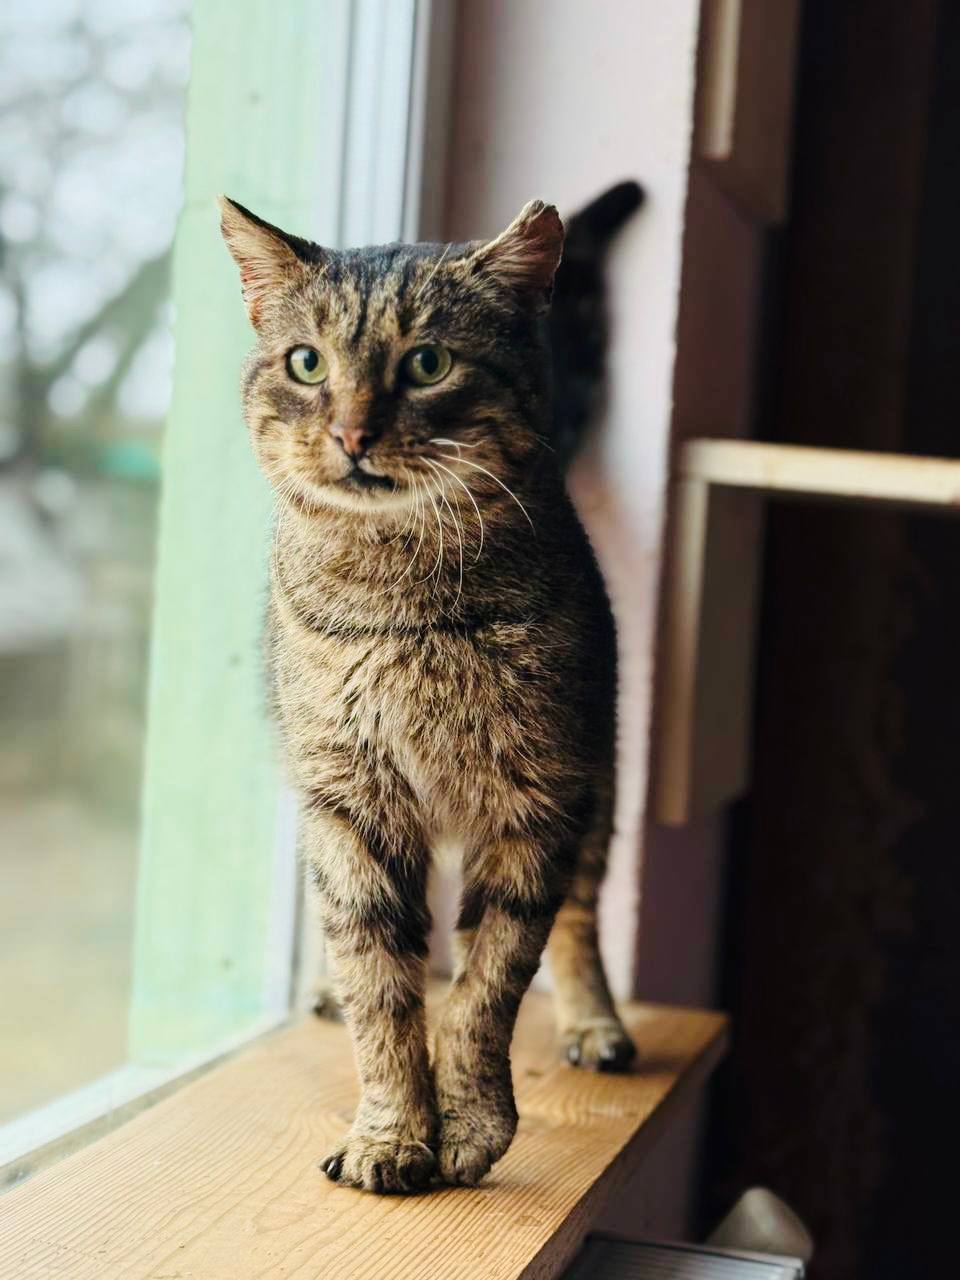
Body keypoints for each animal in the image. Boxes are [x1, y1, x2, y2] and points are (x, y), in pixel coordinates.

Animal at [219, 187, 640, 1194]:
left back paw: (596, 1023)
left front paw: (471, 1125)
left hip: (601, 783)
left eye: (428, 363)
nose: (351, 433)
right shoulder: (346, 798)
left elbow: (487, 984)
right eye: (307, 362)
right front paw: (390, 1133)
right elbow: (378, 979)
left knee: (581, 919)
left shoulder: (538, 802)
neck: (403, 600)